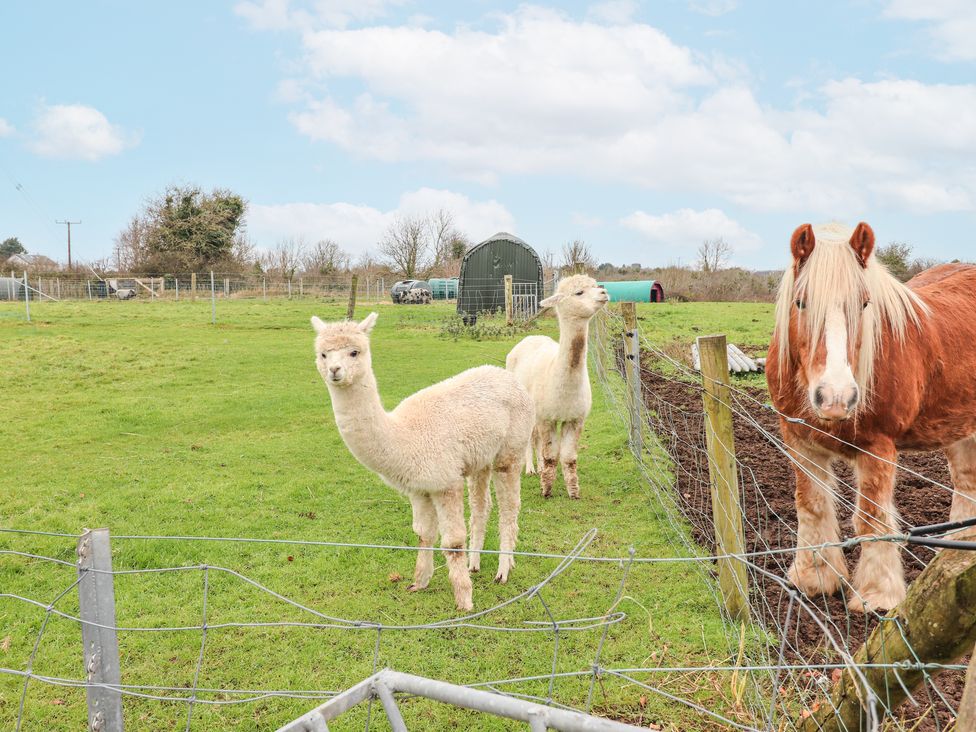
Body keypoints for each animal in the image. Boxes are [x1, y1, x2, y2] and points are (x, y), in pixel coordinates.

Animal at [768, 222, 976, 612]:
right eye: (801, 302)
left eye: (864, 304)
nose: (836, 397)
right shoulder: (799, 440)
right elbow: (811, 505)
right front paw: (813, 577)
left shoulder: (877, 449)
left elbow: (871, 519)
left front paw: (877, 596)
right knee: (966, 482)